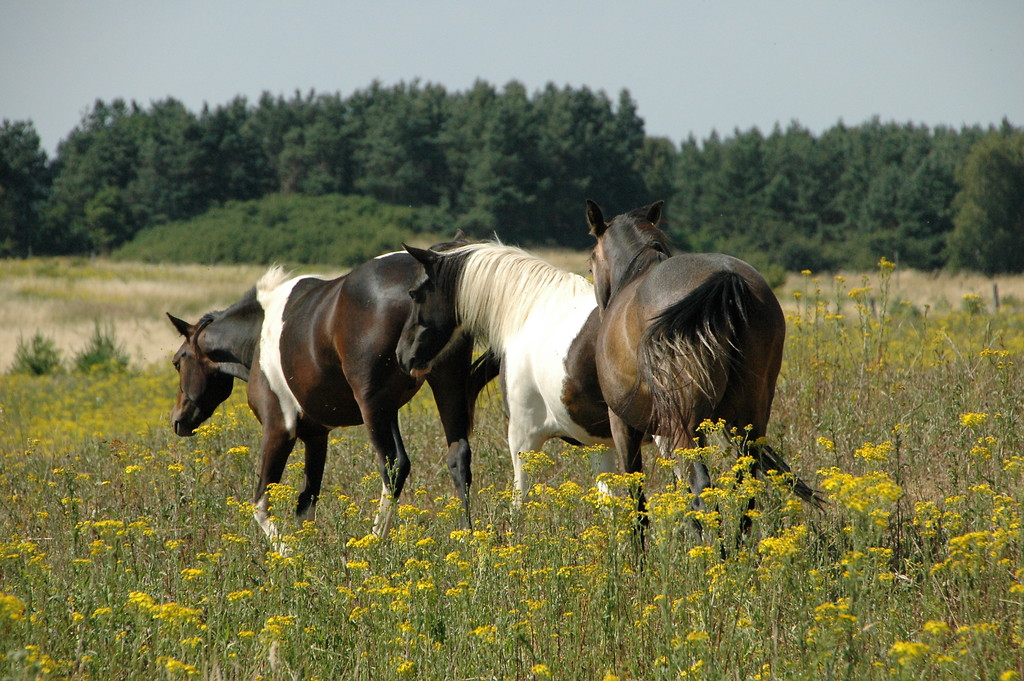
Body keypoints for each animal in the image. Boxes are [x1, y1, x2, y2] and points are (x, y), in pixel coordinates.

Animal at [168, 246, 495, 544]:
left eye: (177, 361)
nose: (178, 420)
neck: (259, 333)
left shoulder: (278, 429)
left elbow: (261, 503)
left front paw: (287, 553)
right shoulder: (317, 435)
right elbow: (306, 503)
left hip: (371, 406)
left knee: (394, 465)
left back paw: (375, 542)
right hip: (442, 387)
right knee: (457, 457)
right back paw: (466, 538)